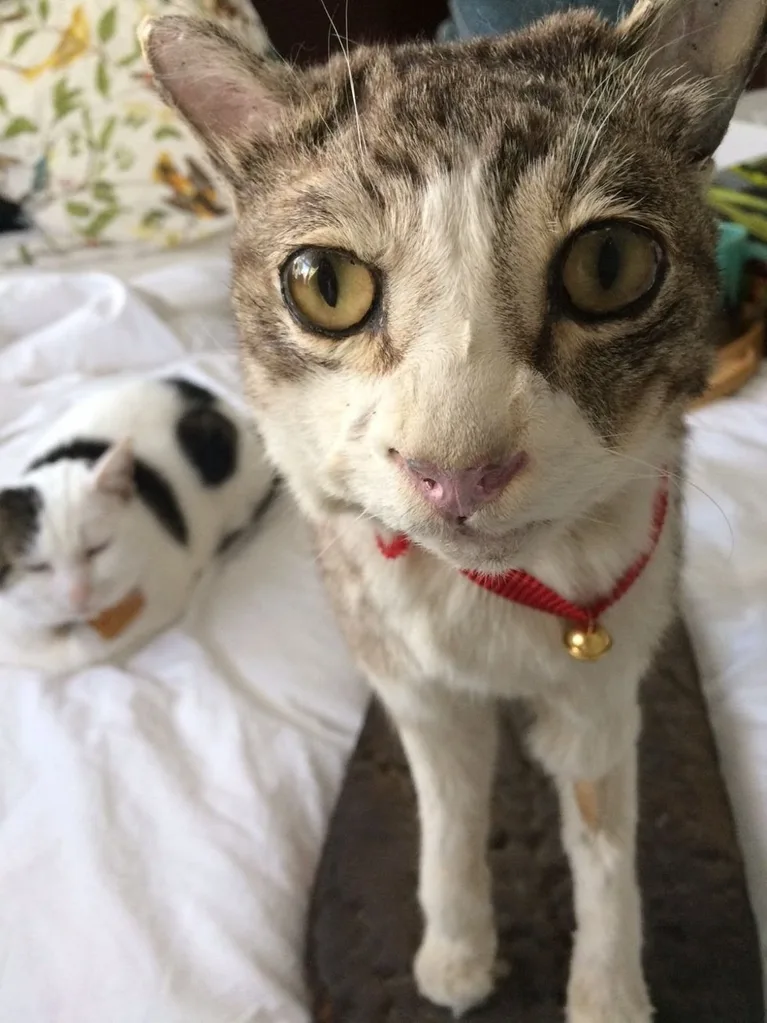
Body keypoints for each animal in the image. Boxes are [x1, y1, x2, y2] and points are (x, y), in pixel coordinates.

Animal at [143, 2, 766, 1020]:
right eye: (324, 283)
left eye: (608, 264)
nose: (457, 469)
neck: (493, 601)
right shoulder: (408, 672)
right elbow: (447, 806)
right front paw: (456, 950)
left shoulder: (607, 674)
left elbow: (604, 835)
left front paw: (607, 990)